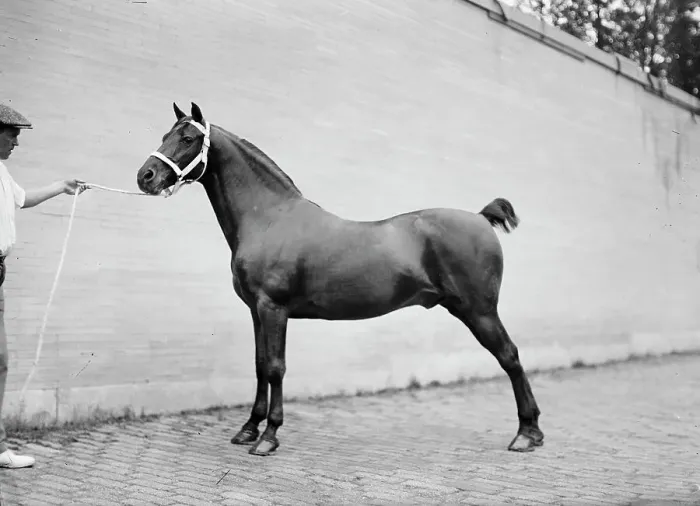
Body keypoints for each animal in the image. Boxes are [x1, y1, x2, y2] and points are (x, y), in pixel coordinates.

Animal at [136, 102, 544, 457]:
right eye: (166, 134)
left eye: (188, 138)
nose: (146, 177)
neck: (269, 217)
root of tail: (480, 217)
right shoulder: (255, 311)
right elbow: (259, 365)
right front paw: (248, 428)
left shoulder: (273, 309)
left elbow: (276, 367)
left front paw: (269, 436)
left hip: (479, 311)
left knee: (510, 357)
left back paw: (527, 433)